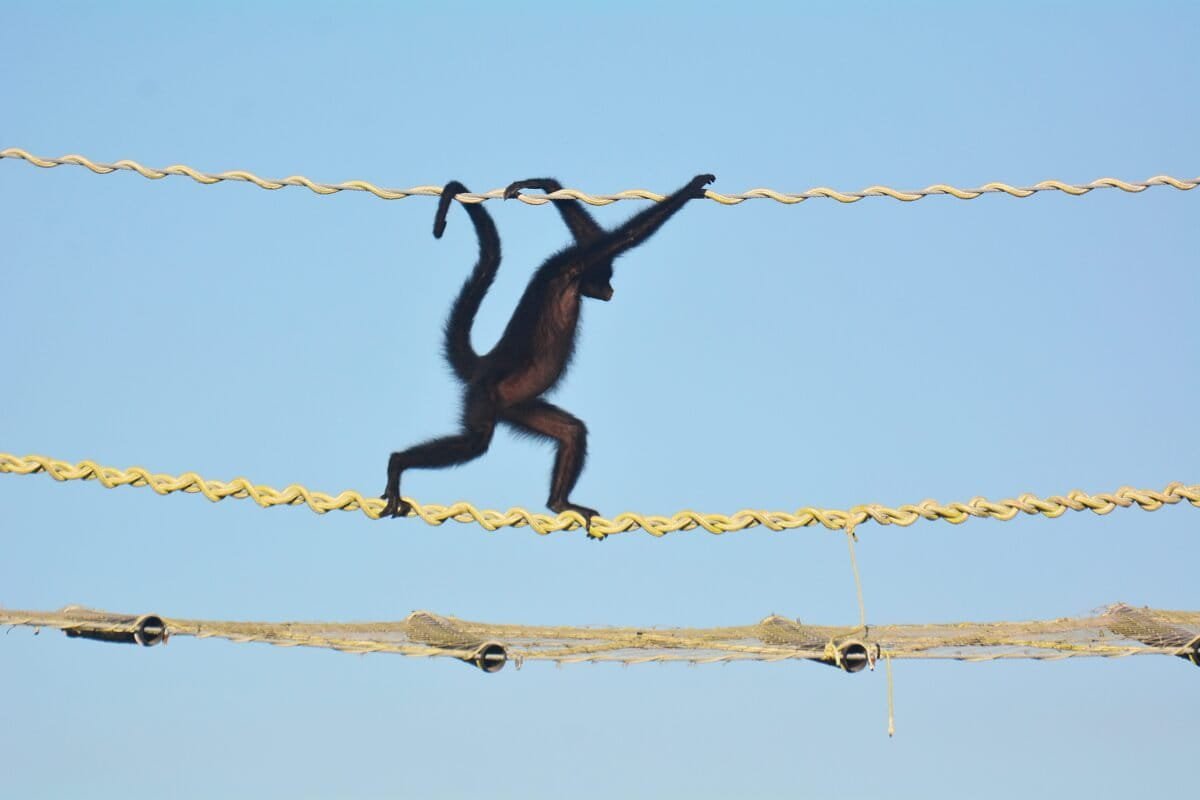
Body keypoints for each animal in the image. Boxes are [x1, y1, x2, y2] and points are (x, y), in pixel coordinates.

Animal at [382, 173, 716, 532]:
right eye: (607, 276)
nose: (611, 290)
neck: (570, 277)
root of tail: (485, 364)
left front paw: (545, 185)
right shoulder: (573, 265)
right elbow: (625, 236)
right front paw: (691, 187)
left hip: (515, 406)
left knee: (571, 432)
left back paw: (559, 503)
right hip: (485, 395)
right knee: (475, 442)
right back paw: (399, 463)